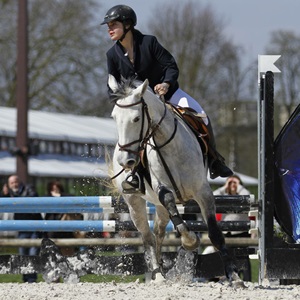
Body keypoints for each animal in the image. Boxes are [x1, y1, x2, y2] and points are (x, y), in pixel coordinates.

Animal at [109, 74, 238, 282]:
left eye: (136, 118)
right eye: (114, 118)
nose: (125, 161)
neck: (168, 145)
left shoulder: (203, 192)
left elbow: (215, 233)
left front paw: (235, 275)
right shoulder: (163, 189)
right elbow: (171, 203)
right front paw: (190, 241)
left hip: (159, 208)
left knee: (159, 232)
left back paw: (161, 269)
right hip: (134, 203)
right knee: (147, 237)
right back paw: (158, 274)